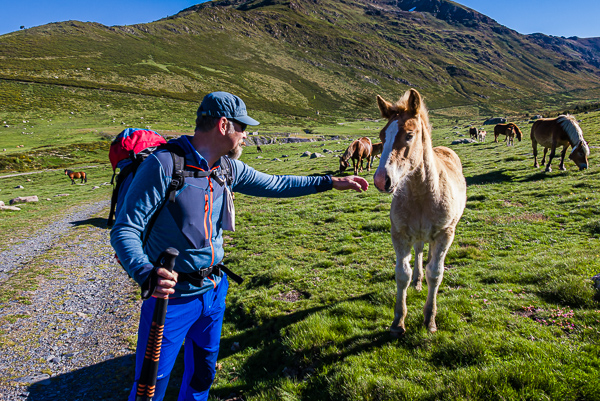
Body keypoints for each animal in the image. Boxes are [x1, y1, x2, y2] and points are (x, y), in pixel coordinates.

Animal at [372, 89, 466, 336]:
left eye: (409, 135)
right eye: (382, 136)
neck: (423, 193)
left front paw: (429, 319)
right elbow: (402, 274)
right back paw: (417, 281)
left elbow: (436, 273)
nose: (381, 180)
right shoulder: (400, 234)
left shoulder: (445, 234)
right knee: (420, 250)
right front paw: (398, 322)